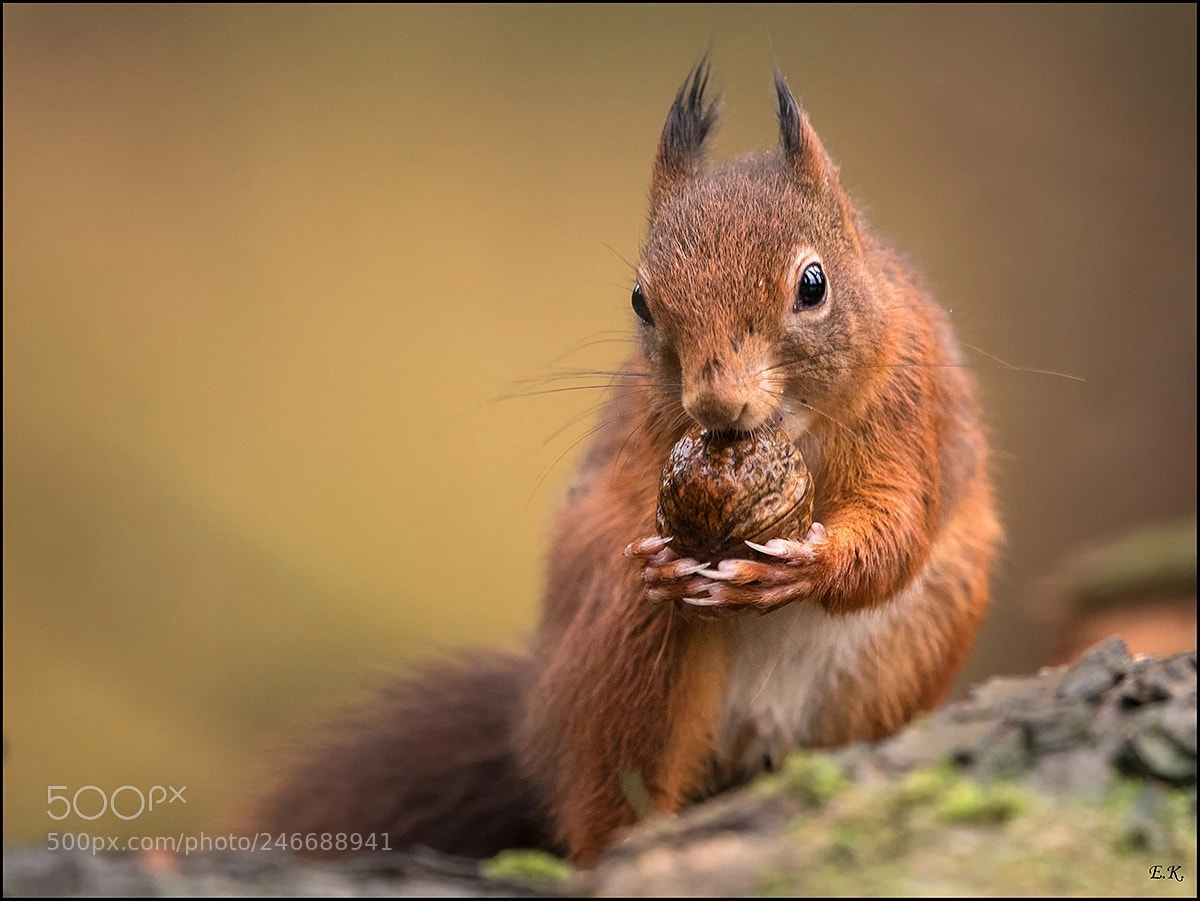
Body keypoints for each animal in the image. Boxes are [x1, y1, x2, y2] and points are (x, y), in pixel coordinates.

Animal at [247, 59, 1000, 866]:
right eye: (641, 300)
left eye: (813, 284)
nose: (718, 403)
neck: (790, 433)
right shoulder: (647, 436)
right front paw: (666, 557)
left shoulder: (909, 418)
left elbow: (898, 530)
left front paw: (811, 563)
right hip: (621, 660)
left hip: (911, 652)